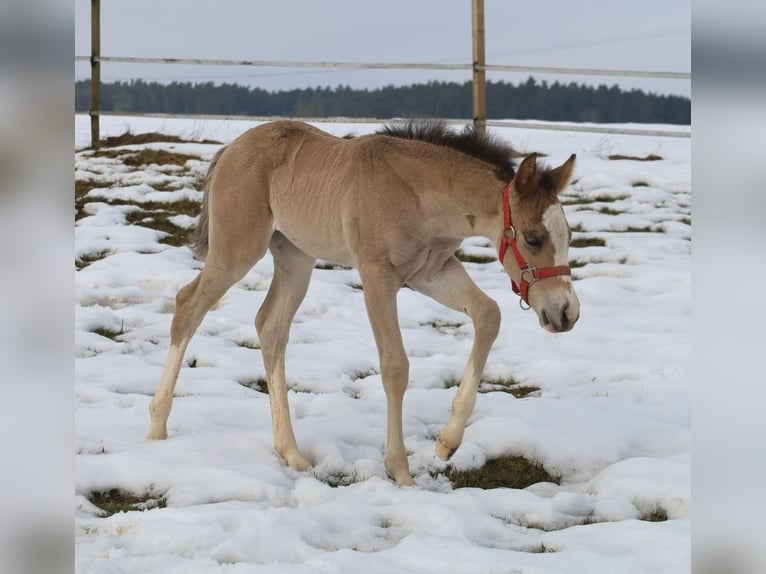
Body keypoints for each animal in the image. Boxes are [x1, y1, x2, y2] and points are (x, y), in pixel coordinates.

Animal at [147, 120, 580, 486]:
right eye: (533, 238)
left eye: (569, 234)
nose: (566, 313)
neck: (419, 196)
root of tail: (231, 150)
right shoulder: (377, 276)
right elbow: (395, 367)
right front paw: (401, 473)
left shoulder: (431, 272)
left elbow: (489, 315)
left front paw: (447, 442)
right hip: (236, 251)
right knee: (188, 306)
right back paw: (156, 427)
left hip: (295, 258)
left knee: (270, 327)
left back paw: (292, 453)